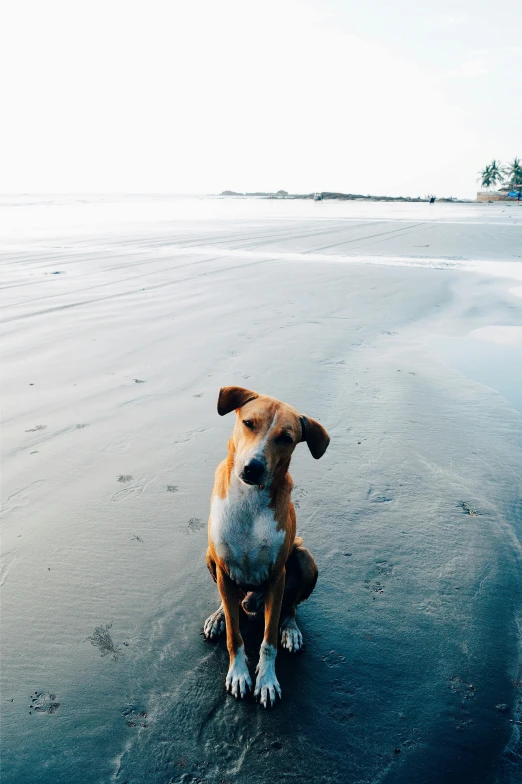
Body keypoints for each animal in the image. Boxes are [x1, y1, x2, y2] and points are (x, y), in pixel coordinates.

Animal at [201, 388, 328, 708]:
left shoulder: (276, 576)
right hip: (211, 560)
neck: (249, 499)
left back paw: (290, 628)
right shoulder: (223, 567)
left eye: (286, 437)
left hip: (304, 558)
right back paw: (219, 616)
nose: (253, 467)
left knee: (290, 606)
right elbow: (235, 636)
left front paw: (267, 680)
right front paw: (238, 673)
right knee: (231, 602)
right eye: (248, 423)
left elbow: (268, 640)